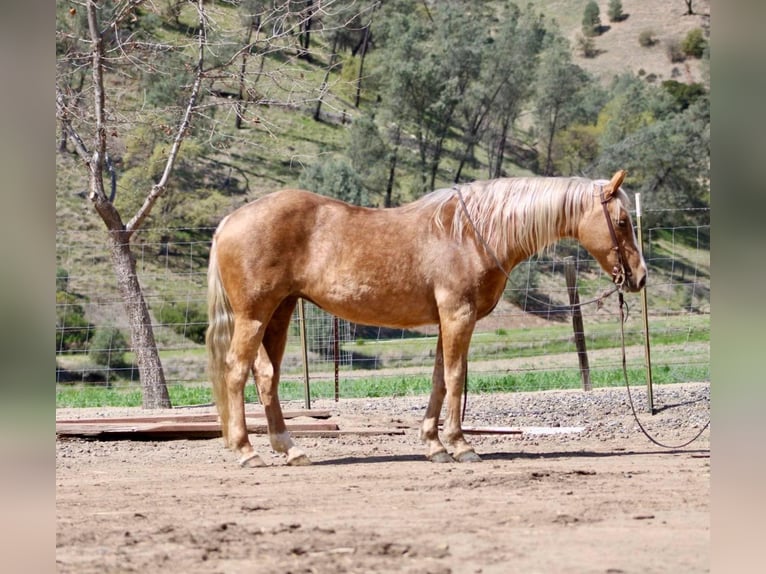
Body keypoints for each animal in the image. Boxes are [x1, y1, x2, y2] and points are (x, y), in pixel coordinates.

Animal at [206, 169, 646, 467]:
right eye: (622, 222)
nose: (640, 277)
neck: (470, 233)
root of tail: (228, 222)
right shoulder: (458, 316)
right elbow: (455, 377)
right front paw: (461, 444)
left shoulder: (445, 322)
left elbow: (438, 379)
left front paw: (435, 445)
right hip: (253, 317)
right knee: (236, 372)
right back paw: (246, 450)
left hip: (278, 314)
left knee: (266, 377)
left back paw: (290, 449)